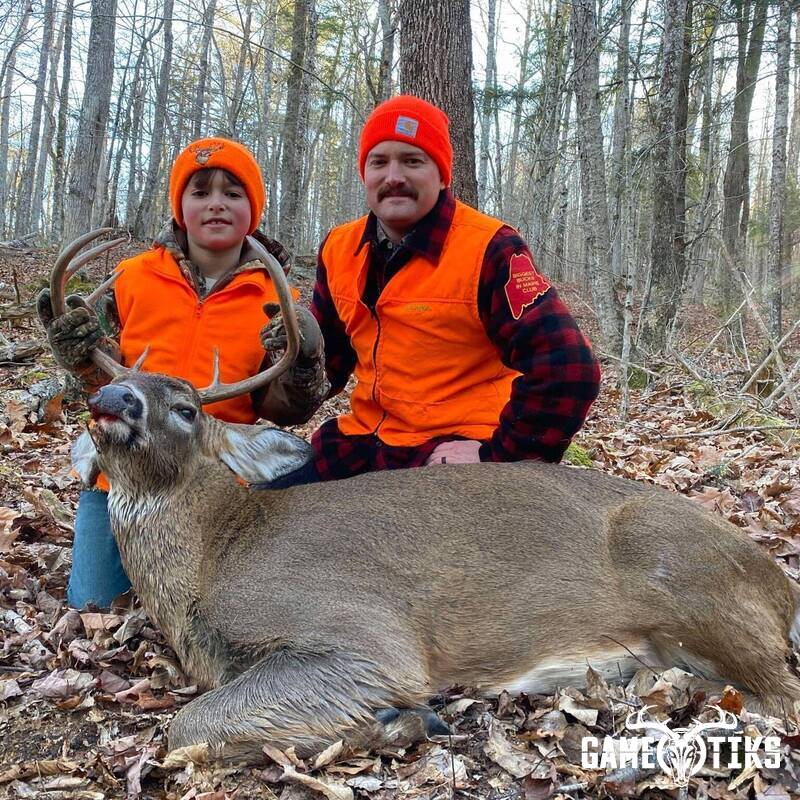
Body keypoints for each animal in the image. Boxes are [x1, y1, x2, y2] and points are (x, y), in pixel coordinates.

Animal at [47, 231, 800, 763]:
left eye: (185, 408)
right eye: (117, 387)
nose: (112, 398)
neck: (214, 559)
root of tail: (779, 578)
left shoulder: (365, 636)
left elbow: (186, 727)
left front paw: (400, 720)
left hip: (682, 568)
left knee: (781, 699)